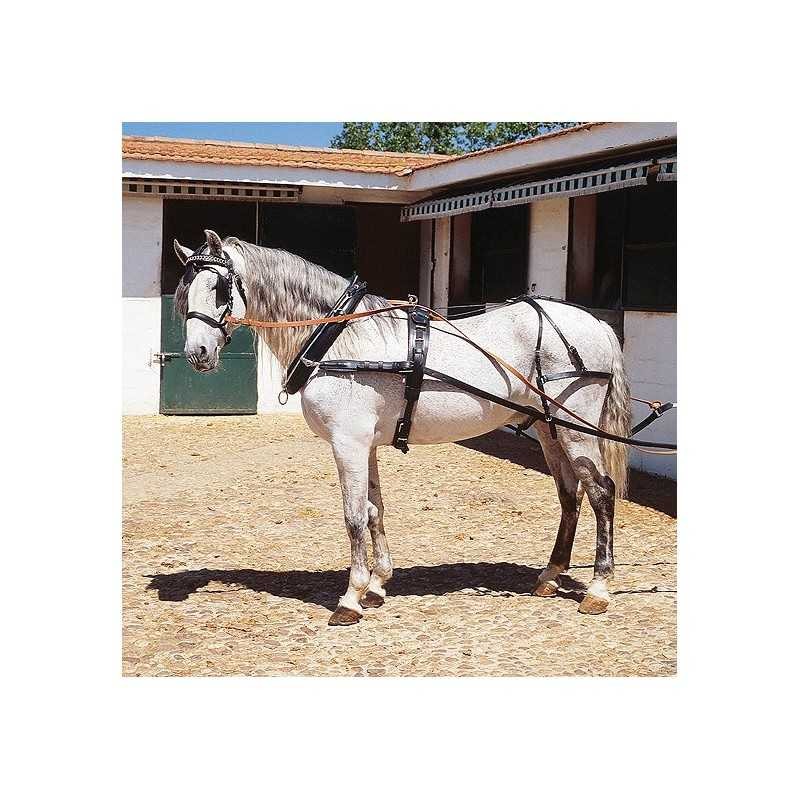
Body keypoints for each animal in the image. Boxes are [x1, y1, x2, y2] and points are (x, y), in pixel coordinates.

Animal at [173, 229, 631, 625]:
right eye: (185, 291)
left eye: (219, 289)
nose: (197, 353)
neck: (341, 338)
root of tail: (594, 323)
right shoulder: (367, 445)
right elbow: (375, 510)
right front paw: (377, 585)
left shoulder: (348, 443)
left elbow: (354, 516)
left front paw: (351, 598)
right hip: (550, 429)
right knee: (570, 495)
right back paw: (550, 575)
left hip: (576, 429)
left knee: (600, 492)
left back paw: (598, 589)